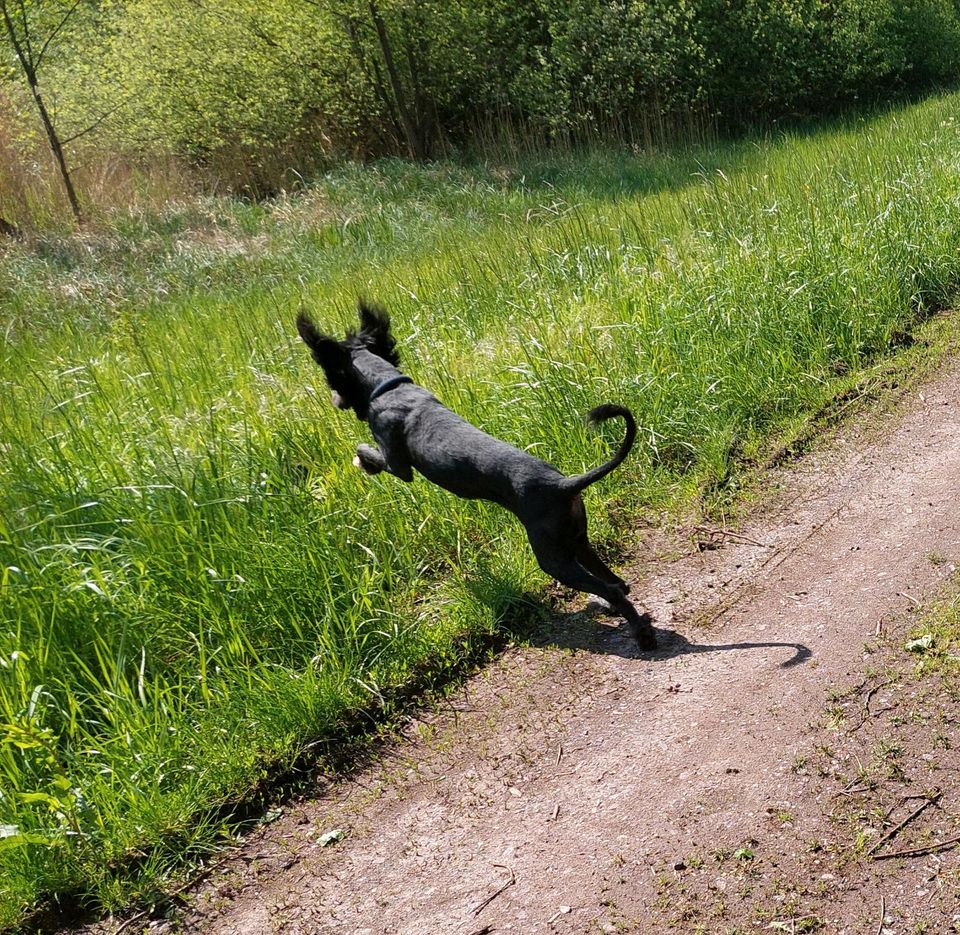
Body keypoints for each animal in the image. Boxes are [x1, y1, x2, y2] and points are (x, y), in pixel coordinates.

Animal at [296, 302, 656, 652]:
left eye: (331, 379)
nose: (334, 400)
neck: (389, 389)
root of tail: (563, 484)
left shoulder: (396, 461)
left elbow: (370, 451)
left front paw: (361, 461)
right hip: (576, 540)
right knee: (615, 582)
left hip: (552, 555)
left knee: (611, 587)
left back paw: (641, 635)